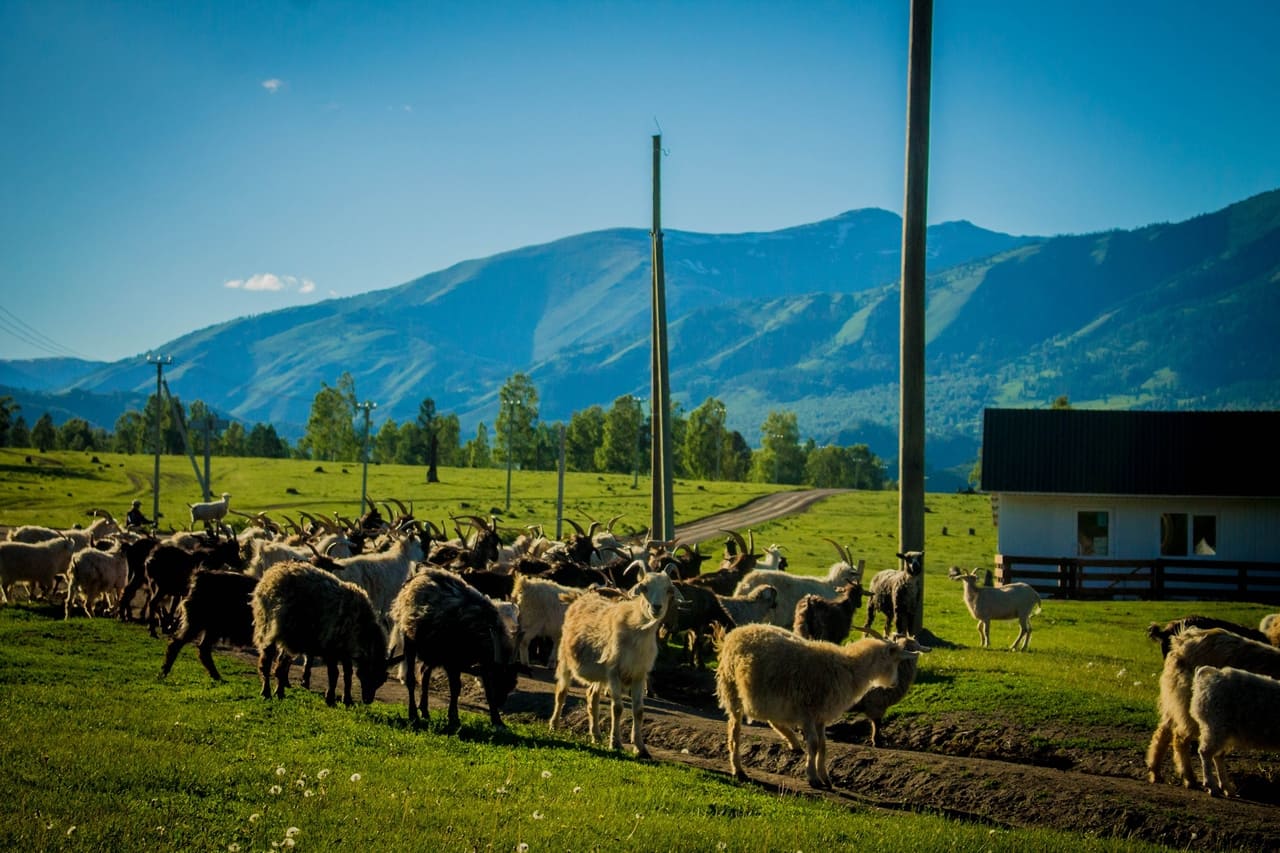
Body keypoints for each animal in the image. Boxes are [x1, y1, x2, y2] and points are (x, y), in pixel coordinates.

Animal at [250, 558, 386, 701]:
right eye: (369, 674)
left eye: (380, 681)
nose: (368, 700)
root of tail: (275, 570)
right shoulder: (331, 647)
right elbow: (334, 674)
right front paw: (330, 698)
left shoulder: (344, 650)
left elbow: (348, 674)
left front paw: (347, 699)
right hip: (268, 625)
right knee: (267, 660)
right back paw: (266, 692)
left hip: (291, 635)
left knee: (281, 665)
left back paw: (279, 692)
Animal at [391, 563, 527, 722]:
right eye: (497, 680)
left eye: (511, 683)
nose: (500, 702)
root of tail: (419, 575)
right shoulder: (452, 661)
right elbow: (456, 687)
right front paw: (454, 717)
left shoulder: (480, 663)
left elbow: (484, 690)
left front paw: (497, 720)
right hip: (410, 640)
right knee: (411, 679)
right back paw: (413, 713)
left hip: (432, 650)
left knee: (424, 673)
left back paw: (424, 710)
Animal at [547, 568, 686, 753]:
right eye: (644, 587)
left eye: (669, 590)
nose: (656, 607)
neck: (637, 631)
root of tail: (581, 597)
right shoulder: (614, 672)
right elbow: (617, 708)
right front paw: (615, 742)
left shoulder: (639, 674)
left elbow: (639, 711)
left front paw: (641, 748)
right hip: (565, 658)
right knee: (561, 691)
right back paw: (554, 725)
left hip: (600, 671)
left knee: (592, 696)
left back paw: (596, 735)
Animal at [721, 622, 921, 788]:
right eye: (896, 657)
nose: (894, 684)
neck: (847, 667)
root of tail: (736, 632)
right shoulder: (807, 713)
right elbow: (814, 744)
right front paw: (813, 777)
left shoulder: (821, 716)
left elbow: (823, 745)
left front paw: (825, 777)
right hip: (732, 690)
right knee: (734, 731)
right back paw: (738, 770)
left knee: (772, 720)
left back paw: (793, 742)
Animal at [1146, 625, 1280, 783]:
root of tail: (1183, 640)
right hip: (1193, 708)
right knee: (1180, 737)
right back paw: (1189, 777)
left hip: (1176, 702)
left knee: (1163, 731)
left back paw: (1155, 772)